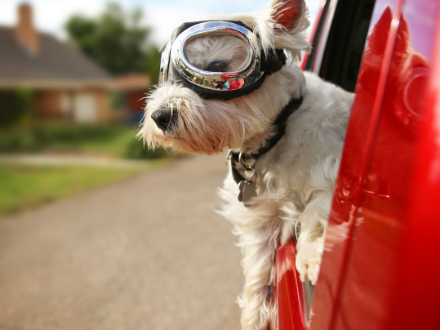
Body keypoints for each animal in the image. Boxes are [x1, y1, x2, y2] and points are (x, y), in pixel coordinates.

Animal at [140, 0, 354, 330]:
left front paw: (314, 255)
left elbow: (319, 211)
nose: (160, 116)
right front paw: (254, 316)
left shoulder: (332, 170)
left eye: (216, 66)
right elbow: (258, 271)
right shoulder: (262, 219)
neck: (276, 135)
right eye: (164, 73)